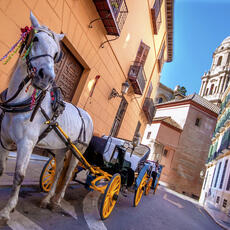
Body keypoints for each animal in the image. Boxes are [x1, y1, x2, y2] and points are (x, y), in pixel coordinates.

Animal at [0, 13, 93, 225]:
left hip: (78, 149)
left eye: (56, 53)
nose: (46, 78)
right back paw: (47, 199)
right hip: (61, 148)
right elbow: (1, 169)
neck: (21, 101)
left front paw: (7, 210)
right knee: (57, 171)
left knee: (67, 175)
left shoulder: (26, 143)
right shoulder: (4, 140)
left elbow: (19, 176)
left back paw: (56, 201)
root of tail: (87, 115)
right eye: (35, 39)